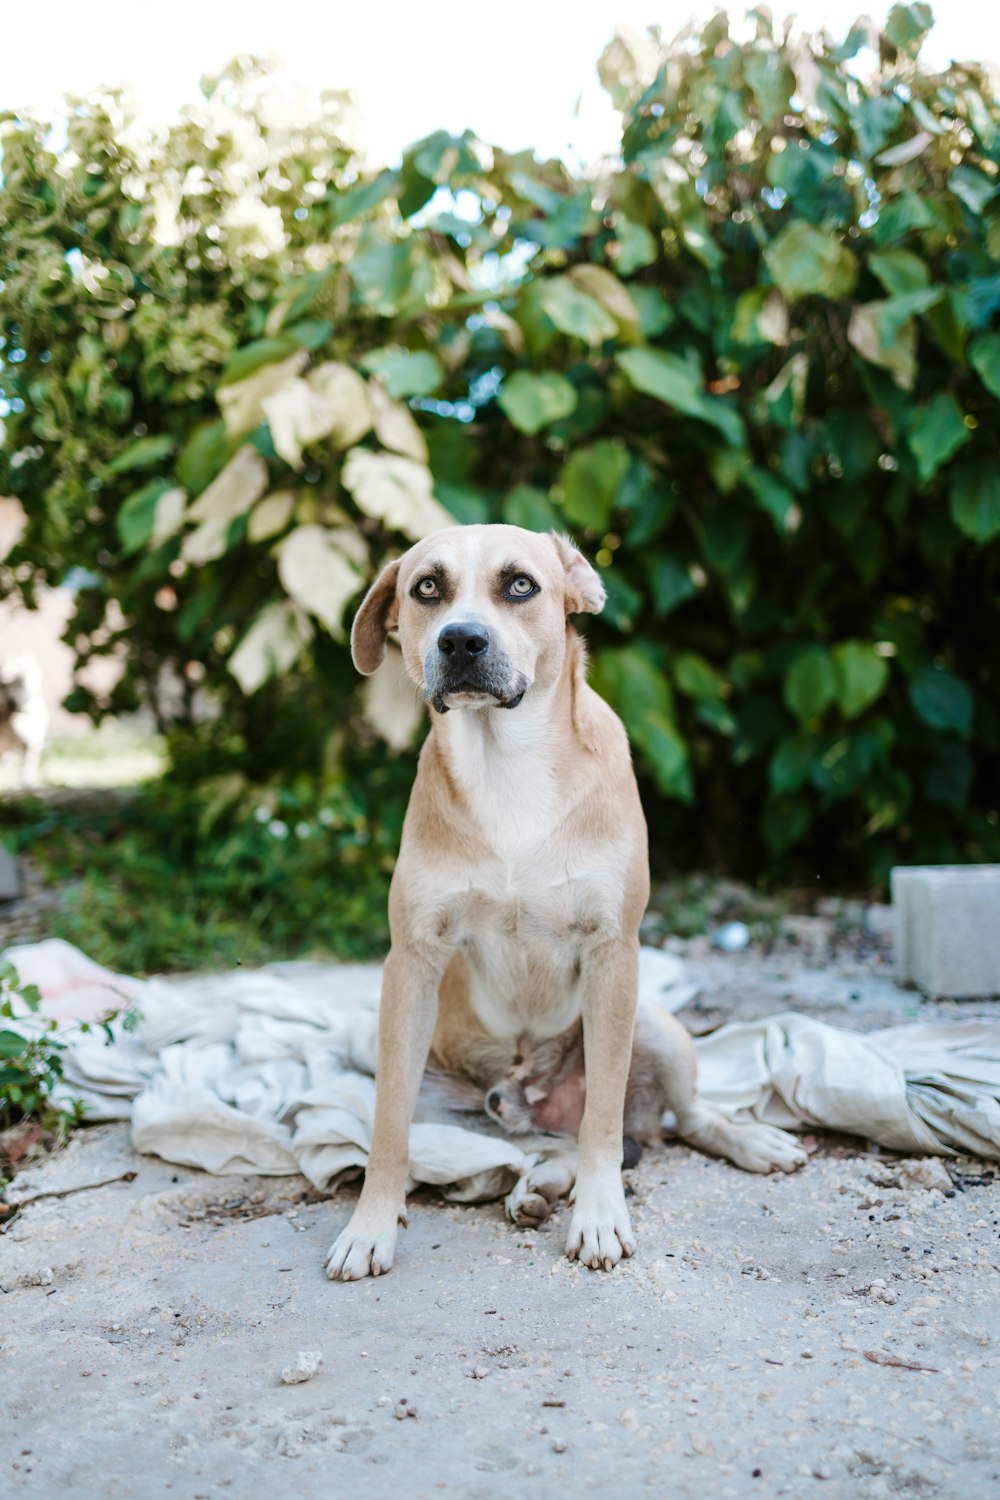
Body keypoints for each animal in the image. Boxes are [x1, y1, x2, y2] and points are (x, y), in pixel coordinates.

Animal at [326, 528, 803, 1278]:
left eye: (520, 585)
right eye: (427, 587)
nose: (461, 641)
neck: (506, 764)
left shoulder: (614, 952)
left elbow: (601, 1119)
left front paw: (602, 1220)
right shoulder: (412, 962)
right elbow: (387, 1129)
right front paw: (371, 1224)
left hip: (657, 1026)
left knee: (677, 1121)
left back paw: (747, 1143)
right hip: (453, 1103)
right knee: (529, 1148)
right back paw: (534, 1187)